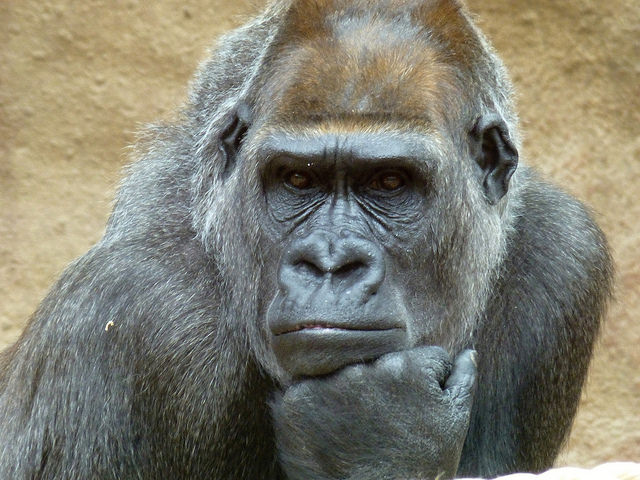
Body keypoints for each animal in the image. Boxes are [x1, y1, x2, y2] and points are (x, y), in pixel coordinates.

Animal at [0, 0, 613, 479]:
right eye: (298, 179)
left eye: (389, 182)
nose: (330, 263)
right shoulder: (128, 308)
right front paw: (382, 430)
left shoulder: (563, 255)